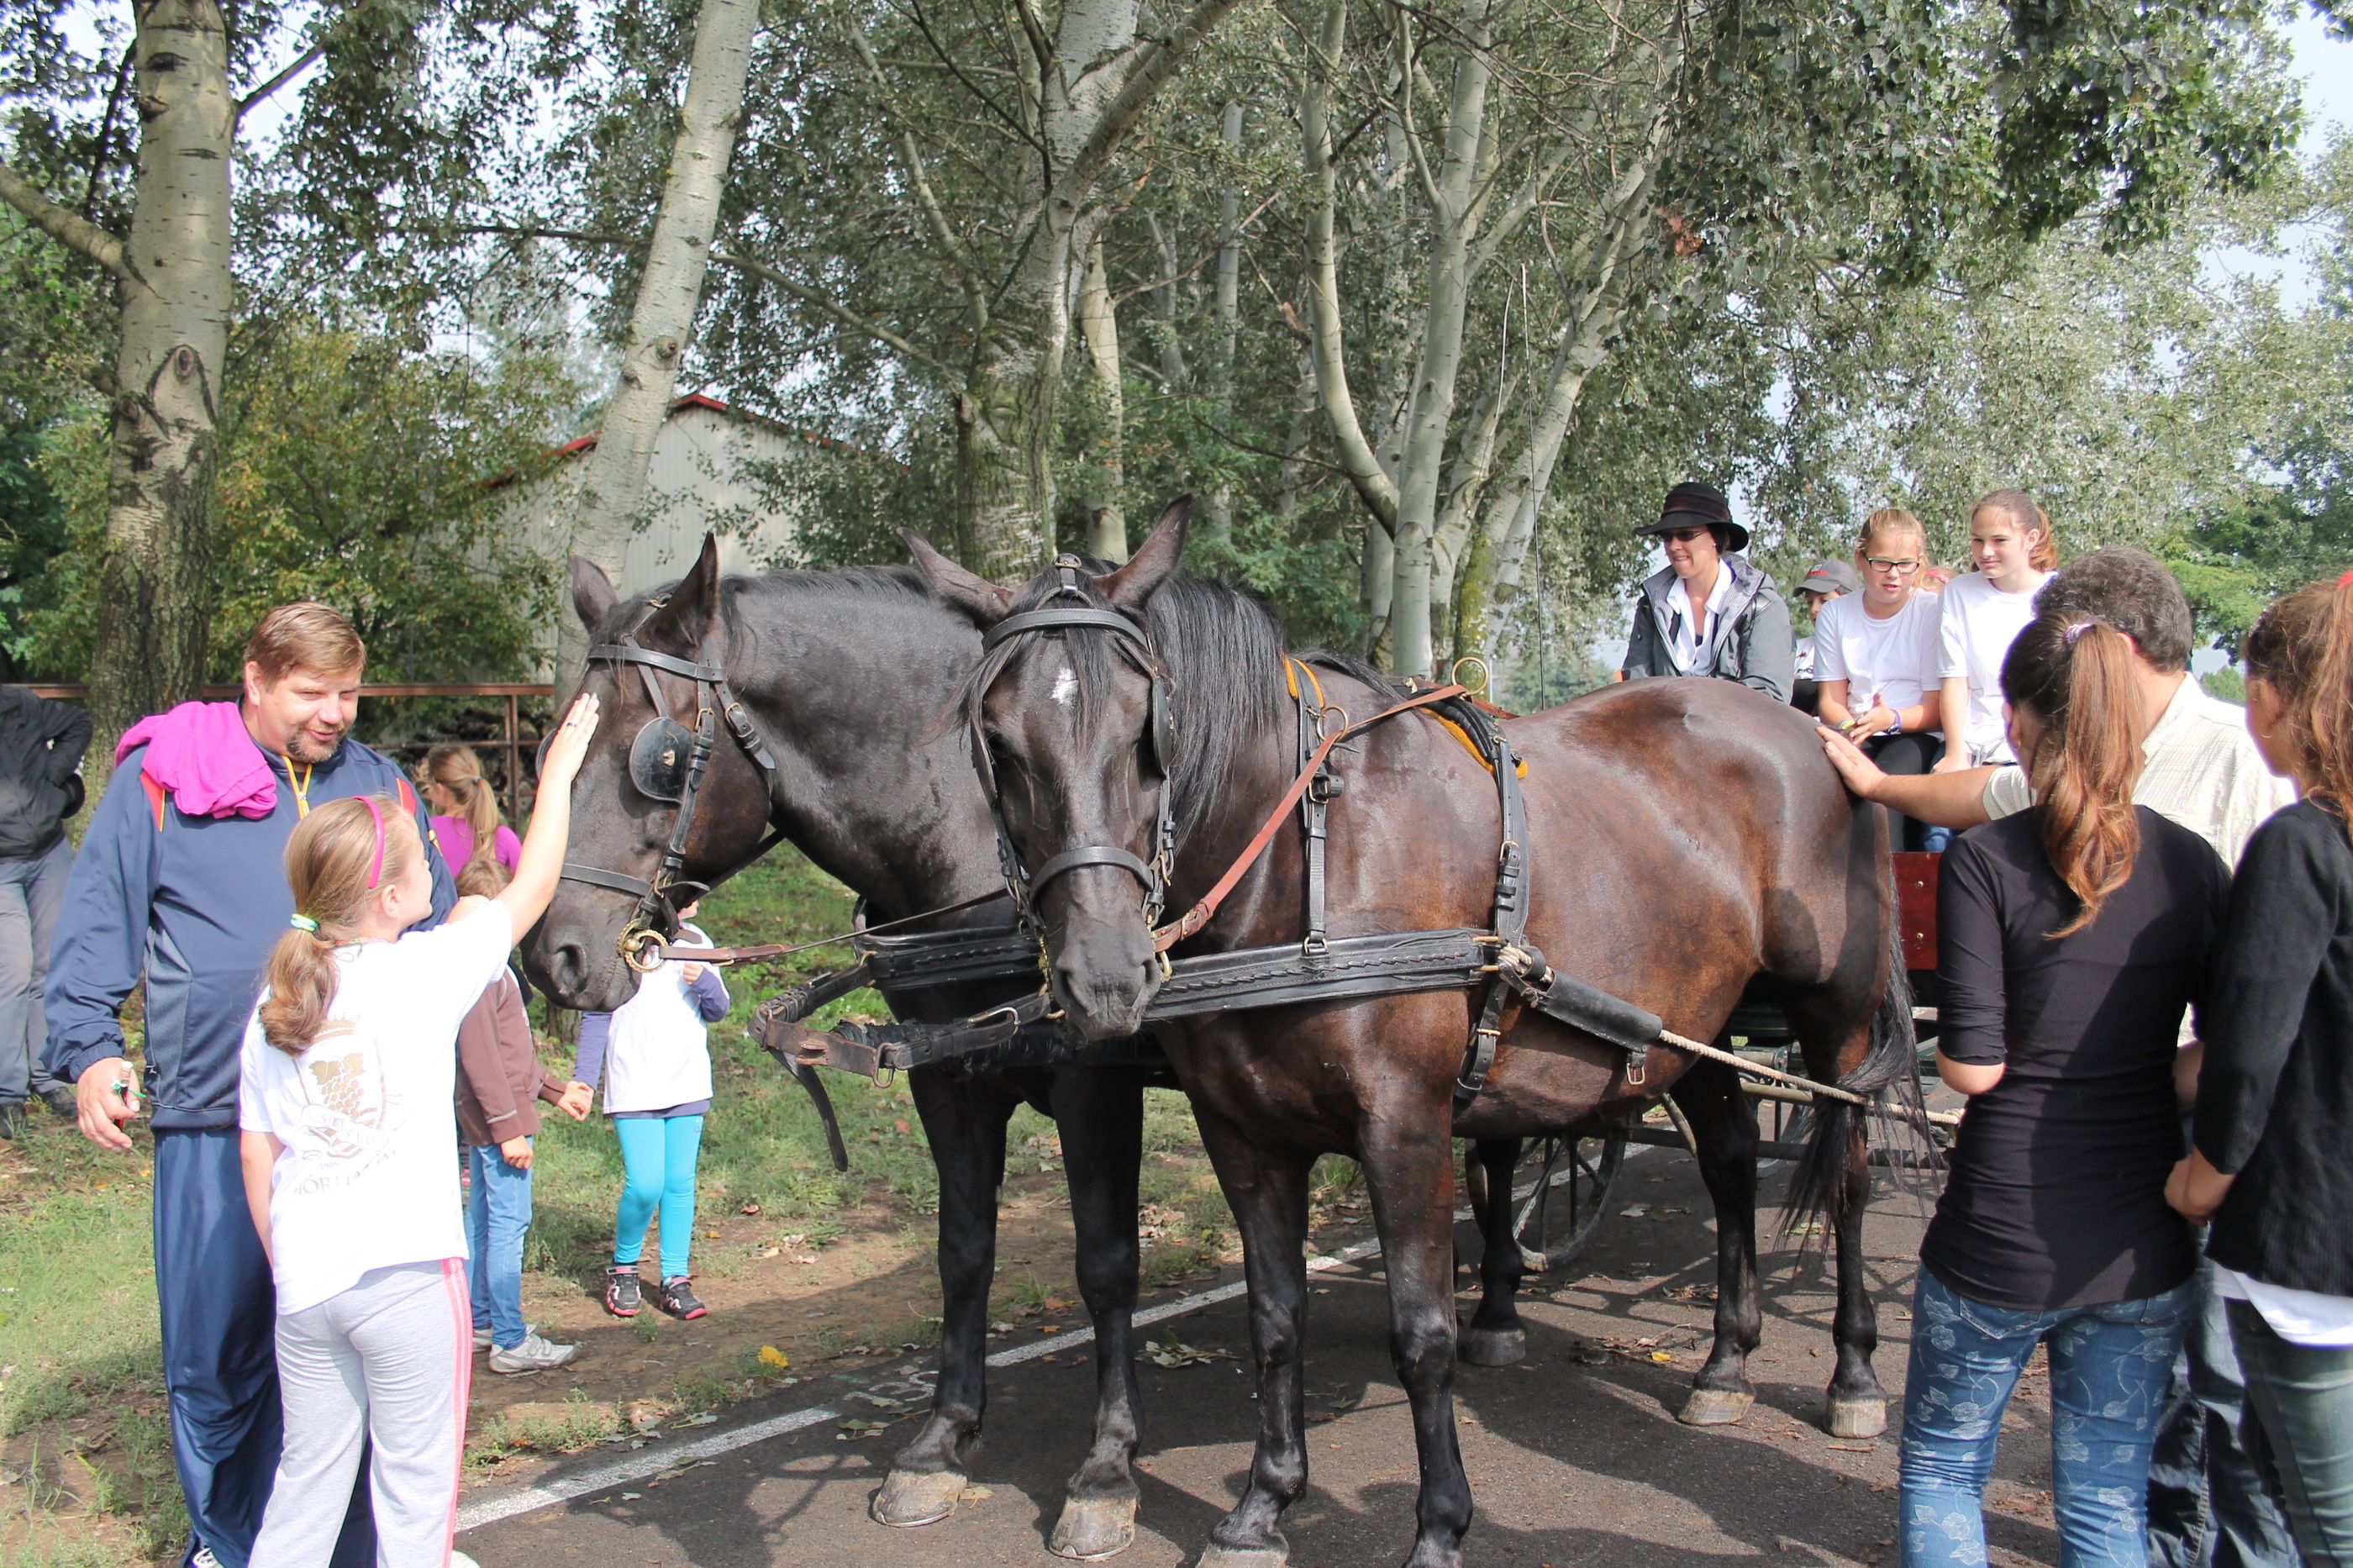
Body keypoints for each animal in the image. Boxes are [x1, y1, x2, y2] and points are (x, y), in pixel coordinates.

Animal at [908, 507, 1918, 1568]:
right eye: (995, 741)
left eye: (1151, 731)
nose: (1104, 975)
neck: (1308, 865)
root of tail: (1810, 734)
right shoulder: (1244, 1137)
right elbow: (1275, 1318)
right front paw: (1264, 1505)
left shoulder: (1404, 1126)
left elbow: (1422, 1330)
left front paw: (1438, 1525)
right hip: (1692, 1026)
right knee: (1727, 1165)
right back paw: (1724, 1362)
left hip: (1835, 1014)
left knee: (1847, 1171)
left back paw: (1853, 1374)